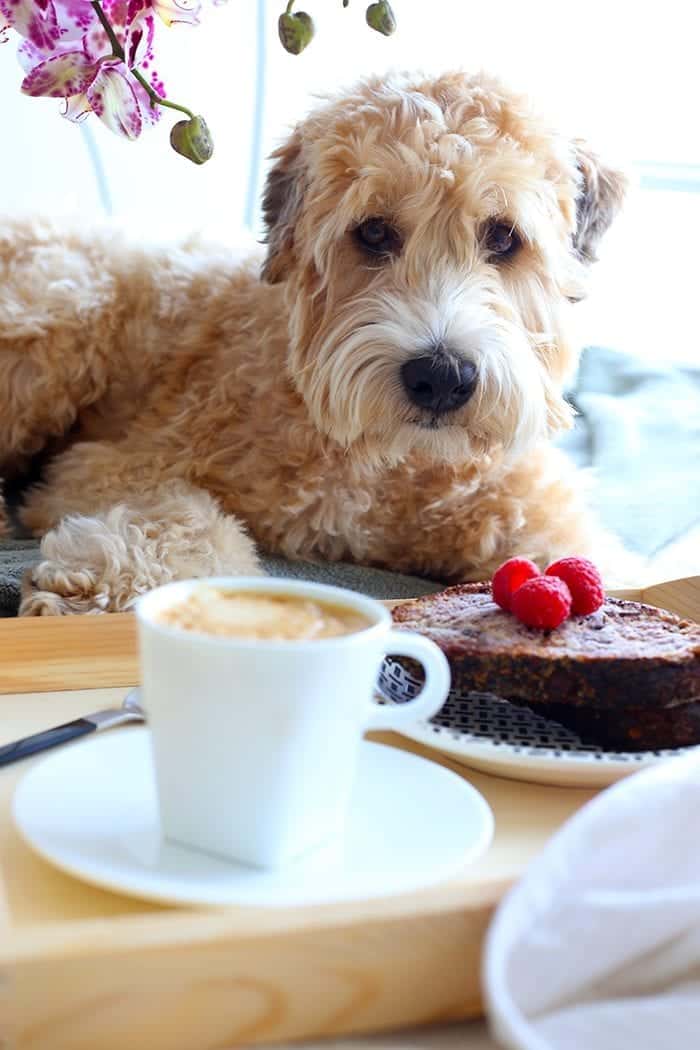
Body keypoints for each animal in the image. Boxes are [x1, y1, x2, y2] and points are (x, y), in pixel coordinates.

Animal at [0, 70, 627, 615]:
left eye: (502, 237)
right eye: (373, 231)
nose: (441, 378)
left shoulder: (543, 521)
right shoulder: (112, 466)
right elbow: (187, 521)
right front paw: (101, 584)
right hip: (64, 312)